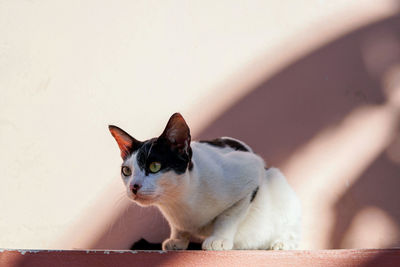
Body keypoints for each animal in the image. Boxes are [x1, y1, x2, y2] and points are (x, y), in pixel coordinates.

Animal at [108, 112, 302, 250]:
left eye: (154, 166)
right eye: (127, 171)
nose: (133, 186)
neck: (179, 201)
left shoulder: (251, 171)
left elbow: (229, 216)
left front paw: (219, 239)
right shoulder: (176, 218)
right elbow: (178, 227)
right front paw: (178, 240)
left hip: (277, 179)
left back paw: (282, 243)